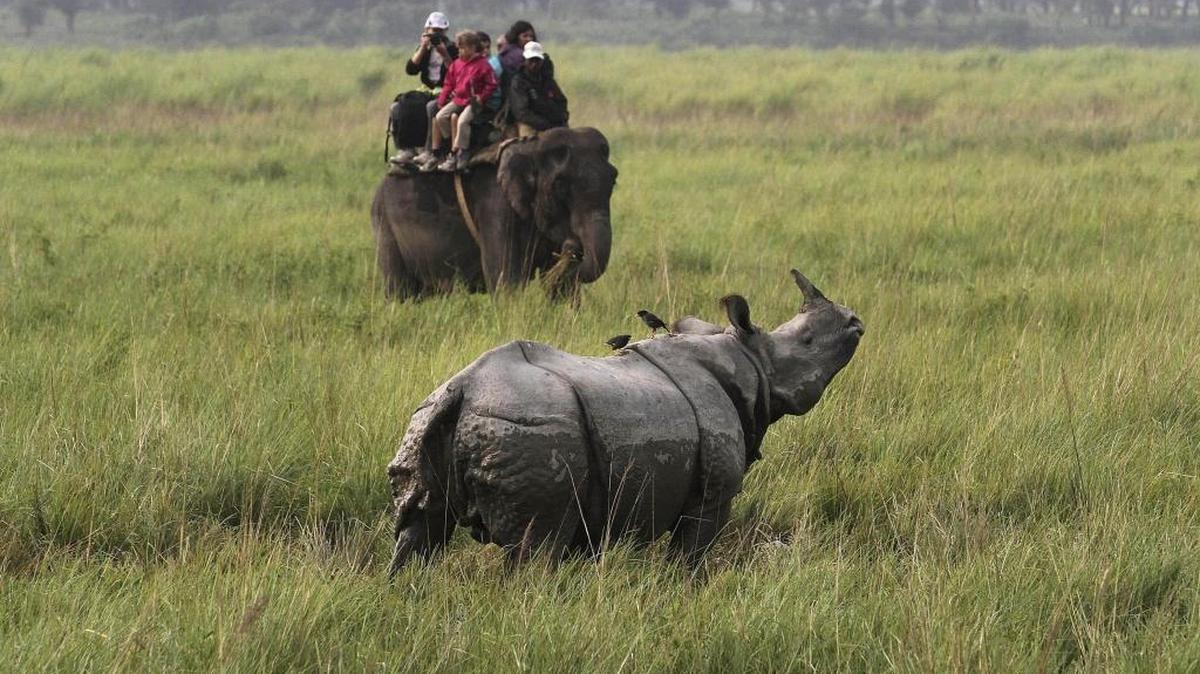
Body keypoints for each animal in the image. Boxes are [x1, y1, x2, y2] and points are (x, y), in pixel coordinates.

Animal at [387, 269, 864, 572]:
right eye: (806, 341)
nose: (855, 320)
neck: (749, 360)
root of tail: (462, 390)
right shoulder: (711, 497)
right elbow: (691, 556)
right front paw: (684, 592)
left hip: (428, 419)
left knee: (418, 532)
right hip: (528, 428)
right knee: (534, 549)